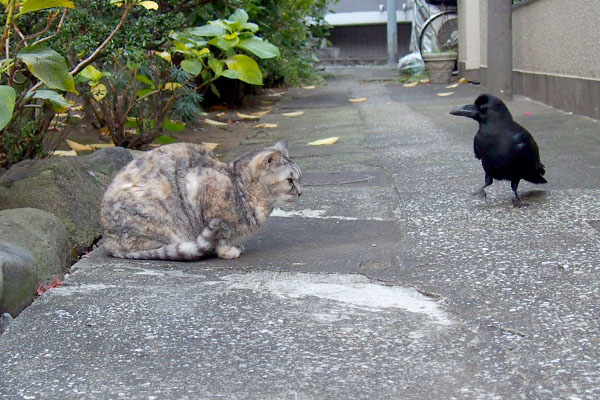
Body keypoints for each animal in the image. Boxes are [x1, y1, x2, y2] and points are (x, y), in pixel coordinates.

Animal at [100, 141, 302, 262]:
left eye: (299, 179)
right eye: (290, 181)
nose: (302, 192)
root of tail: (108, 242)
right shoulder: (205, 192)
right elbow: (221, 236)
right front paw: (227, 251)